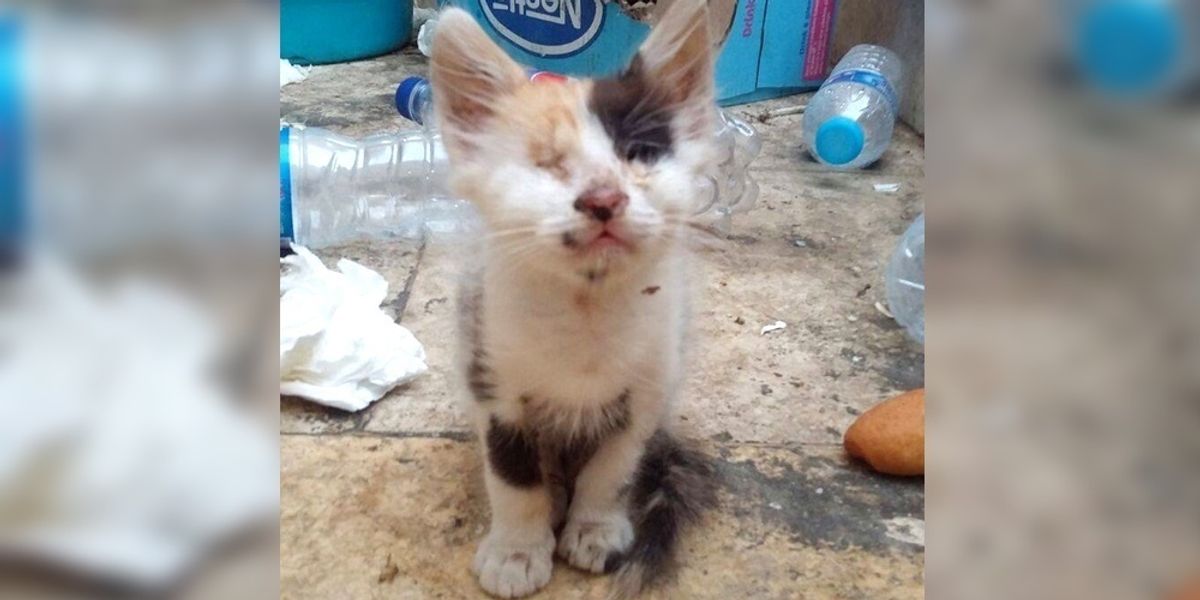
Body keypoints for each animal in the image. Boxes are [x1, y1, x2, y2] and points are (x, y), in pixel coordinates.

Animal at [429, 2, 715, 597]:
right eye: (548, 166)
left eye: (638, 155)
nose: (604, 199)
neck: (587, 307)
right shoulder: (492, 379)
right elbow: (513, 477)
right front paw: (516, 551)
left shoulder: (648, 389)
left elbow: (614, 469)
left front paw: (595, 528)